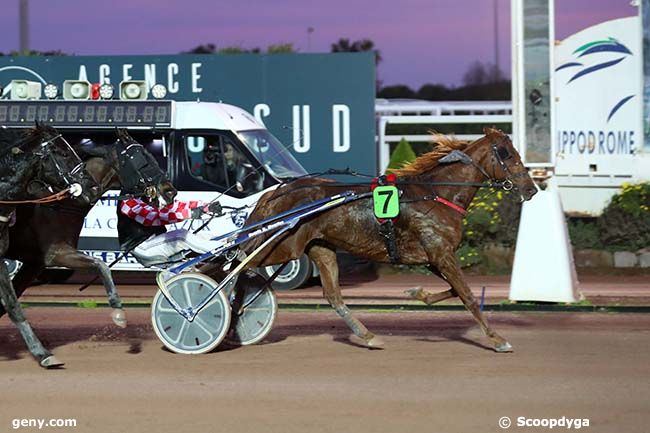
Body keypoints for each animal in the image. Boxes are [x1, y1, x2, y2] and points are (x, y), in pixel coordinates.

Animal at [3, 128, 177, 330]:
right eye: (142, 157)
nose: (170, 191)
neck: (57, 205)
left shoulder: (36, 262)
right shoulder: (55, 252)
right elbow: (101, 264)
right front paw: (118, 312)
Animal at [215, 127, 536, 352]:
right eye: (507, 153)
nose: (531, 188)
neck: (436, 193)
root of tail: (275, 192)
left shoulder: (435, 258)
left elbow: (455, 292)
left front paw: (418, 293)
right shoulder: (442, 254)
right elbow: (467, 295)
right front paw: (498, 339)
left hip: (320, 248)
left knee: (332, 295)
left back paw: (367, 336)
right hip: (282, 247)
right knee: (235, 265)